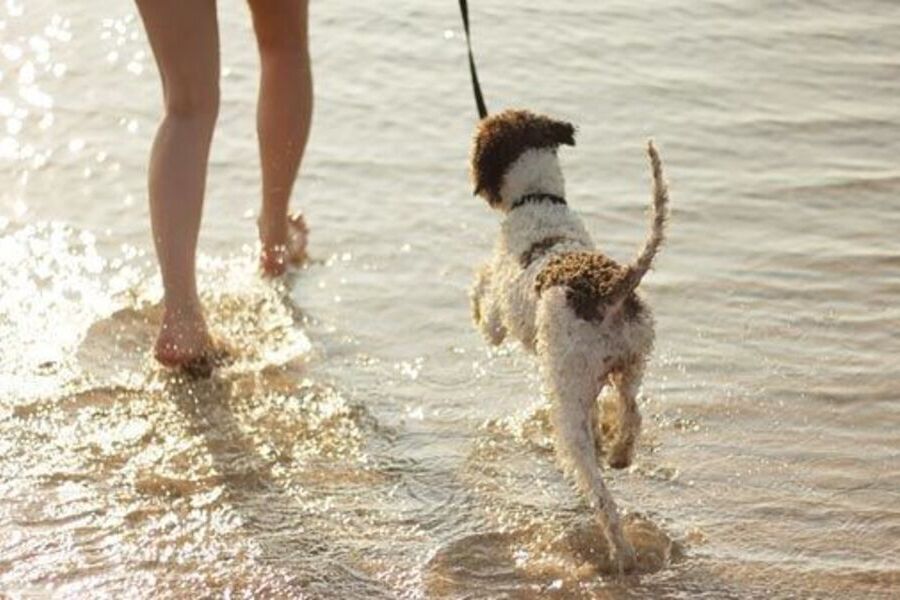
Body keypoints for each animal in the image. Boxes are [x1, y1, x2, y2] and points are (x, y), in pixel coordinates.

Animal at [472, 110, 668, 576]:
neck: (538, 200)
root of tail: (611, 289)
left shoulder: (500, 315)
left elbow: (485, 297)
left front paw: (473, 303)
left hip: (568, 399)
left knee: (601, 496)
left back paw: (621, 555)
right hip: (631, 360)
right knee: (632, 411)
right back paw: (618, 453)